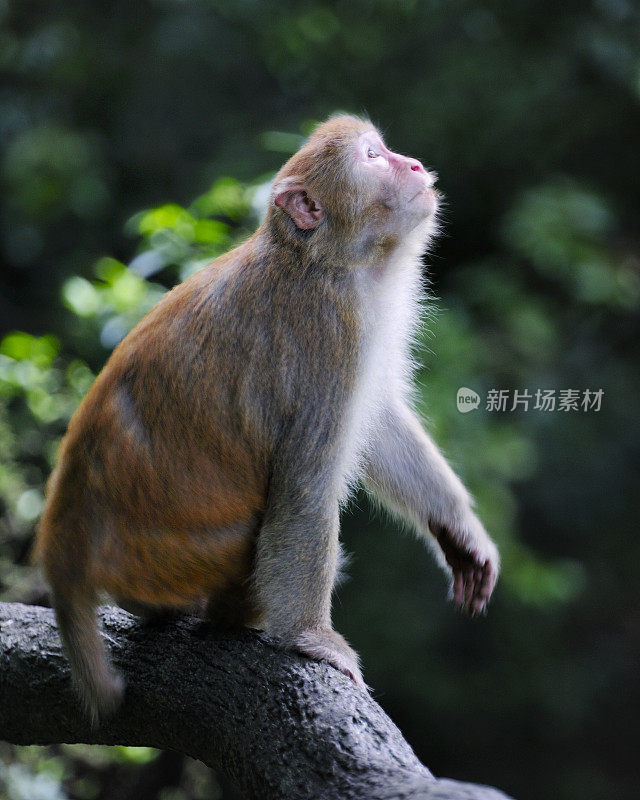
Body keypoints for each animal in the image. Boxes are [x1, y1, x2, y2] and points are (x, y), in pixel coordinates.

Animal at [33, 115, 500, 720]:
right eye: (373, 157)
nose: (415, 165)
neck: (327, 261)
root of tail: (64, 530)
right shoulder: (331, 333)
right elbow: (306, 486)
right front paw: (311, 637)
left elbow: (379, 425)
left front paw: (458, 530)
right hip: (182, 556)